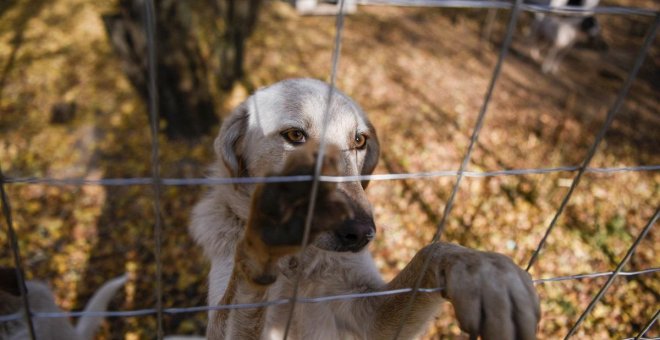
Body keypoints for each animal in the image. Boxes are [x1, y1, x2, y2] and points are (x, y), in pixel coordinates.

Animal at [191, 78, 540, 338]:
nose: (361, 233)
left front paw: (482, 270)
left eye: (359, 141)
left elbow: (432, 252)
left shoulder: (370, 316)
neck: (300, 264)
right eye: (295, 135)